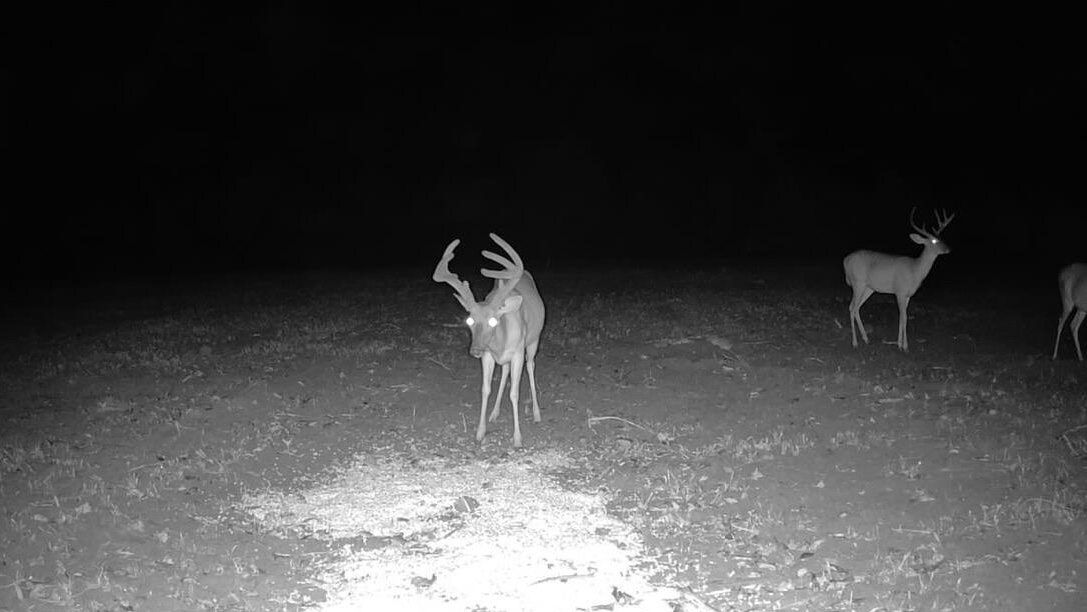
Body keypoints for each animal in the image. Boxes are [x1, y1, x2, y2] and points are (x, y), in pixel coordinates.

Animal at [432, 233, 546, 447]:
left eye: (493, 320)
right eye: (469, 320)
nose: (474, 350)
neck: (501, 340)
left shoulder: (517, 352)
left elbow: (515, 393)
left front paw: (517, 438)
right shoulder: (488, 355)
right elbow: (486, 389)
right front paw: (480, 432)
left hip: (533, 341)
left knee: (531, 366)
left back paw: (537, 414)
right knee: (505, 371)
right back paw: (494, 413)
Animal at [843, 207, 955, 352]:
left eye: (941, 238)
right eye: (934, 241)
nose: (948, 249)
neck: (915, 271)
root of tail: (845, 260)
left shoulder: (907, 295)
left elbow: (902, 318)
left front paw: (899, 344)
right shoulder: (900, 291)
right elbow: (904, 317)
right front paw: (905, 347)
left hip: (869, 287)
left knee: (857, 307)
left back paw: (866, 339)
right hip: (858, 282)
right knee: (851, 307)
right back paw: (855, 343)